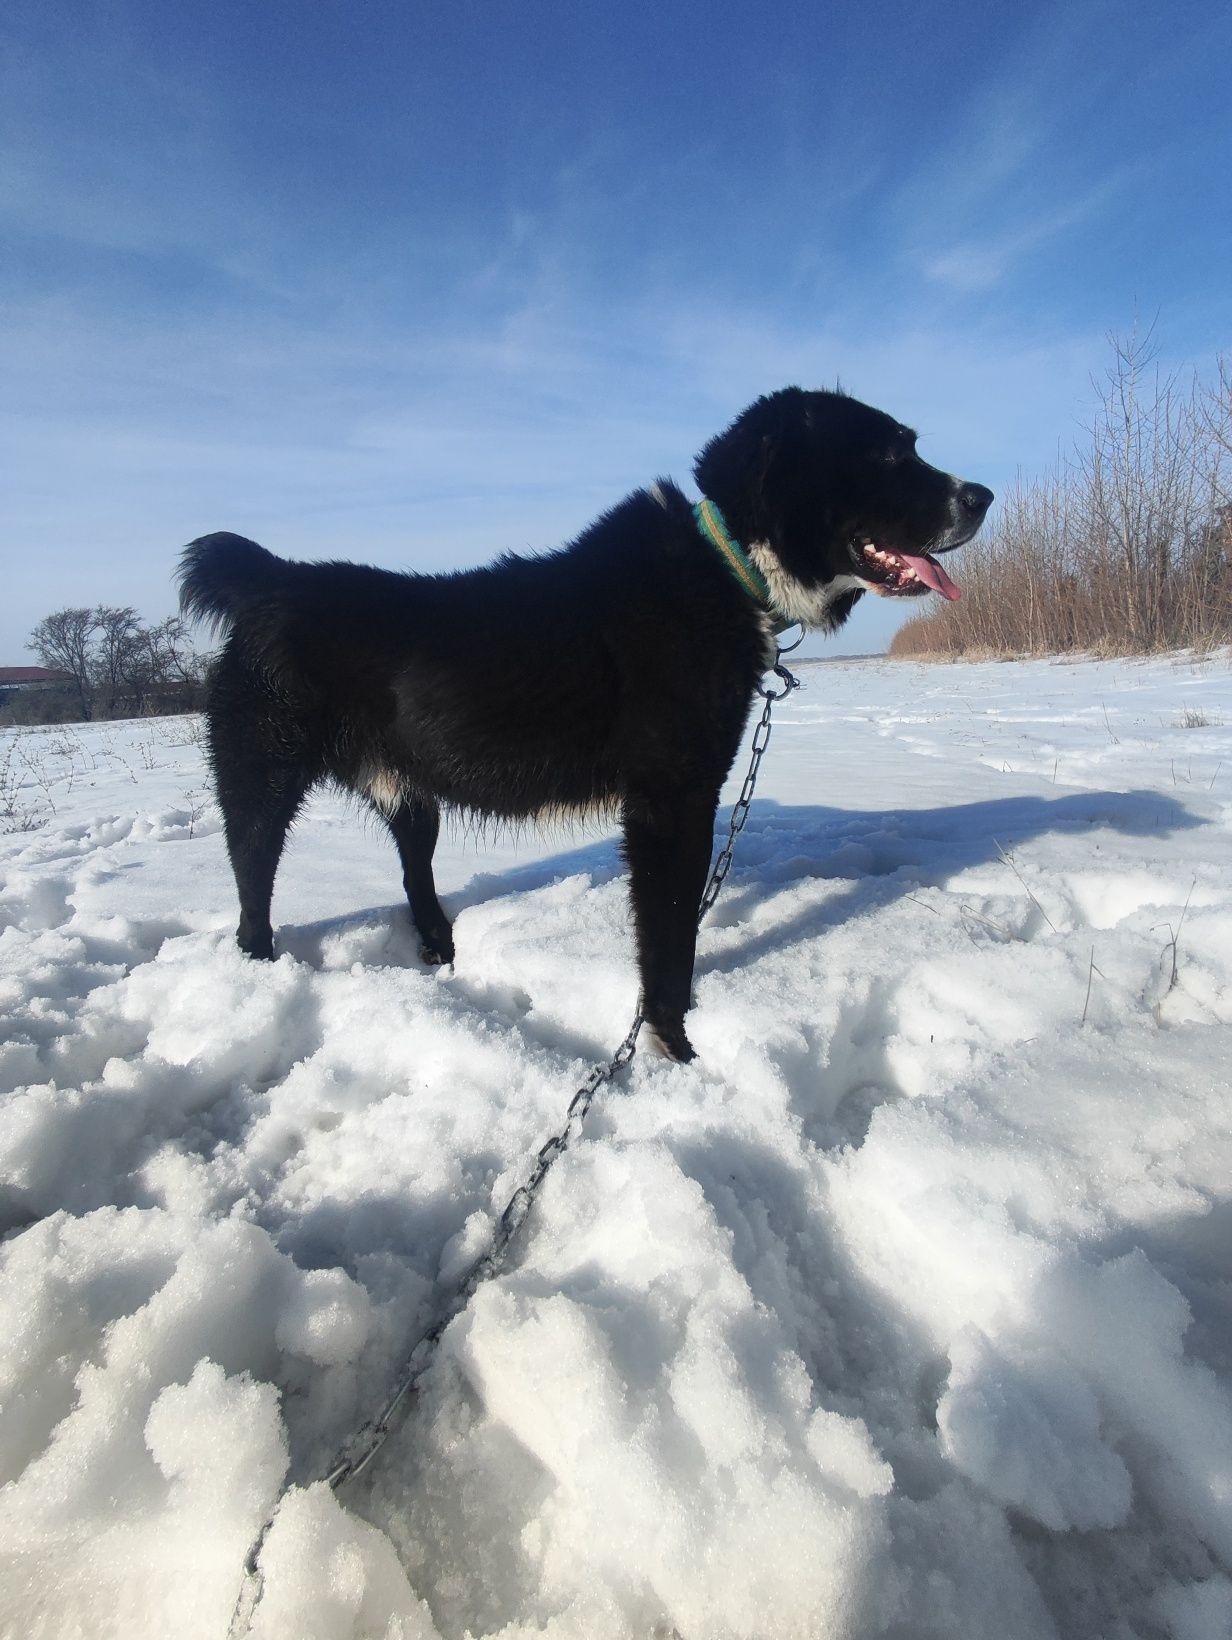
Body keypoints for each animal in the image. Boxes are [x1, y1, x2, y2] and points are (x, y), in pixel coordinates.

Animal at [180, 387, 990, 1062]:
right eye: (889, 454)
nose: (982, 494)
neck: (725, 565)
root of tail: (274, 579)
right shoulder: (670, 804)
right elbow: (668, 940)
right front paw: (676, 1049)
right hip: (261, 783)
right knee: (252, 888)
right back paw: (261, 973)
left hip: (409, 794)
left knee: (415, 874)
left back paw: (442, 955)